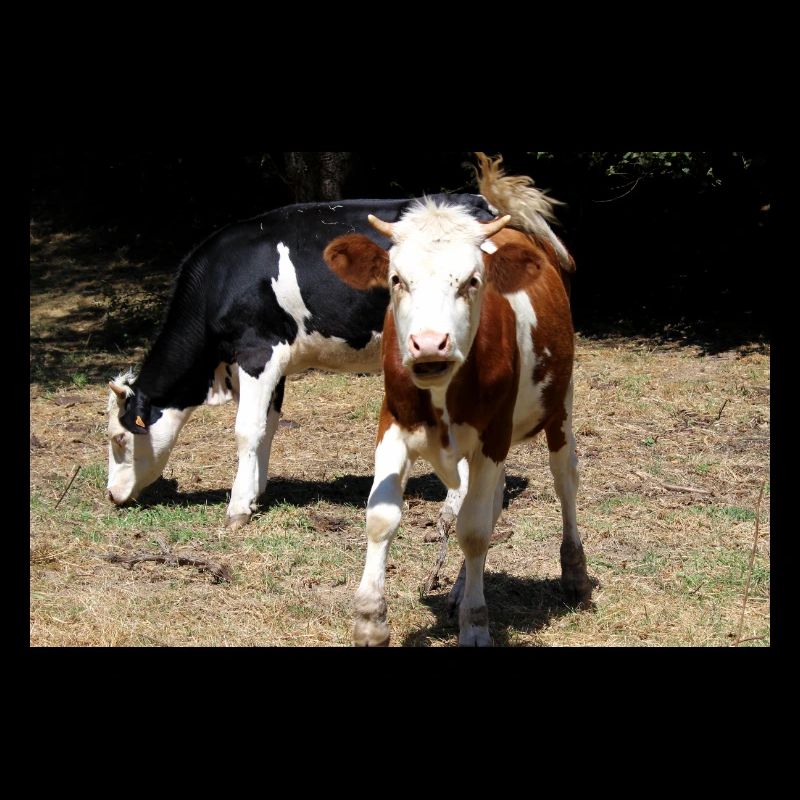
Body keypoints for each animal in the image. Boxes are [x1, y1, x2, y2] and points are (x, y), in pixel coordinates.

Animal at [106, 192, 498, 529]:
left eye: (119, 439)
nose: (112, 496)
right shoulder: (273, 364)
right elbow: (268, 426)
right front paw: (255, 495)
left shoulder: (257, 353)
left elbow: (246, 429)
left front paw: (237, 508)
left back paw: (453, 506)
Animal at [323, 154, 590, 646]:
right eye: (396, 279)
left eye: (472, 280)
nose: (430, 345)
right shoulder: (392, 425)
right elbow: (382, 517)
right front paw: (370, 619)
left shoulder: (494, 437)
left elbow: (474, 531)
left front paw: (476, 623)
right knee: (492, 499)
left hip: (560, 406)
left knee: (565, 481)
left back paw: (575, 574)